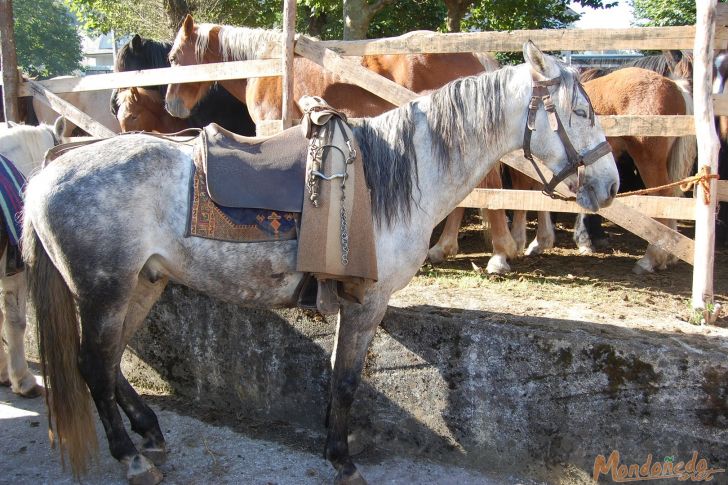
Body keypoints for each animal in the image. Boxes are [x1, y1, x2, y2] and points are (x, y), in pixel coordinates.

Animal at [165, 15, 516, 272]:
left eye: (172, 57)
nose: (171, 105)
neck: (269, 66)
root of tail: (476, 53)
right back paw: (443, 248)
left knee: (491, 186)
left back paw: (499, 255)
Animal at [510, 66, 696, 274]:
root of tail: (675, 86)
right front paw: (540, 242)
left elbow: (522, 192)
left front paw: (517, 241)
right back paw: (669, 255)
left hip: (649, 161)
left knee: (662, 197)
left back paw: (650, 258)